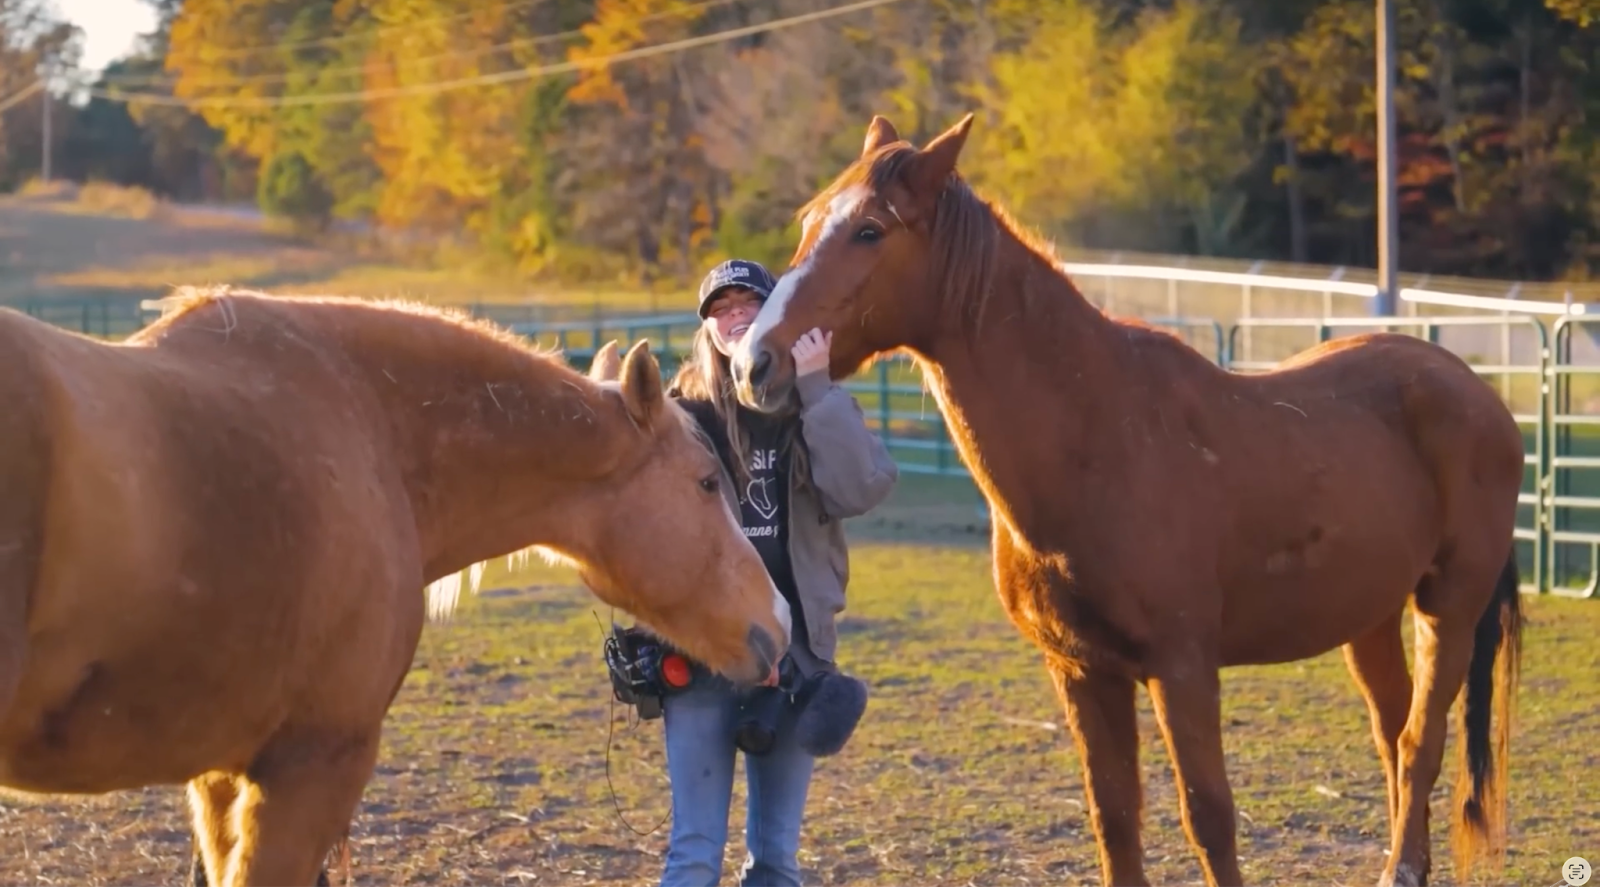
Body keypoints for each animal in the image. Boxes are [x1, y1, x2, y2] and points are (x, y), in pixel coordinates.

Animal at [726, 113, 1525, 887]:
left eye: (869, 230)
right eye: (808, 220)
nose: (752, 364)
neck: (1099, 435)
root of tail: (1478, 392)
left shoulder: (1183, 669)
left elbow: (1209, 817)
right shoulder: (1083, 671)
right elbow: (1114, 817)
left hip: (1448, 608)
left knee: (1421, 740)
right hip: (1369, 615)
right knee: (1393, 733)